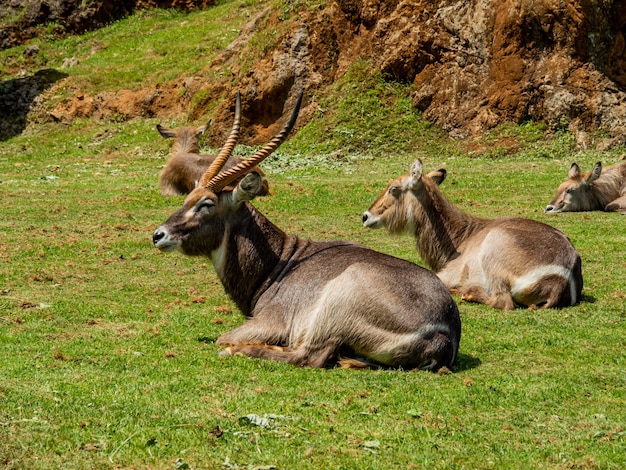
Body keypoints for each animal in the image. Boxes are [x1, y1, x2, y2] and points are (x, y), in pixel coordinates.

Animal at [152, 93, 458, 370]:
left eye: (206, 203)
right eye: (188, 198)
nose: (159, 235)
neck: (279, 261)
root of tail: (446, 329)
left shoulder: (268, 322)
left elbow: (223, 337)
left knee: (309, 356)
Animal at [364, 160, 584, 310]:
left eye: (393, 188)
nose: (366, 216)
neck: (461, 237)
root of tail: (561, 278)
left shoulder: (446, 274)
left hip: (494, 248)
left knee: (504, 302)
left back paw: (468, 293)